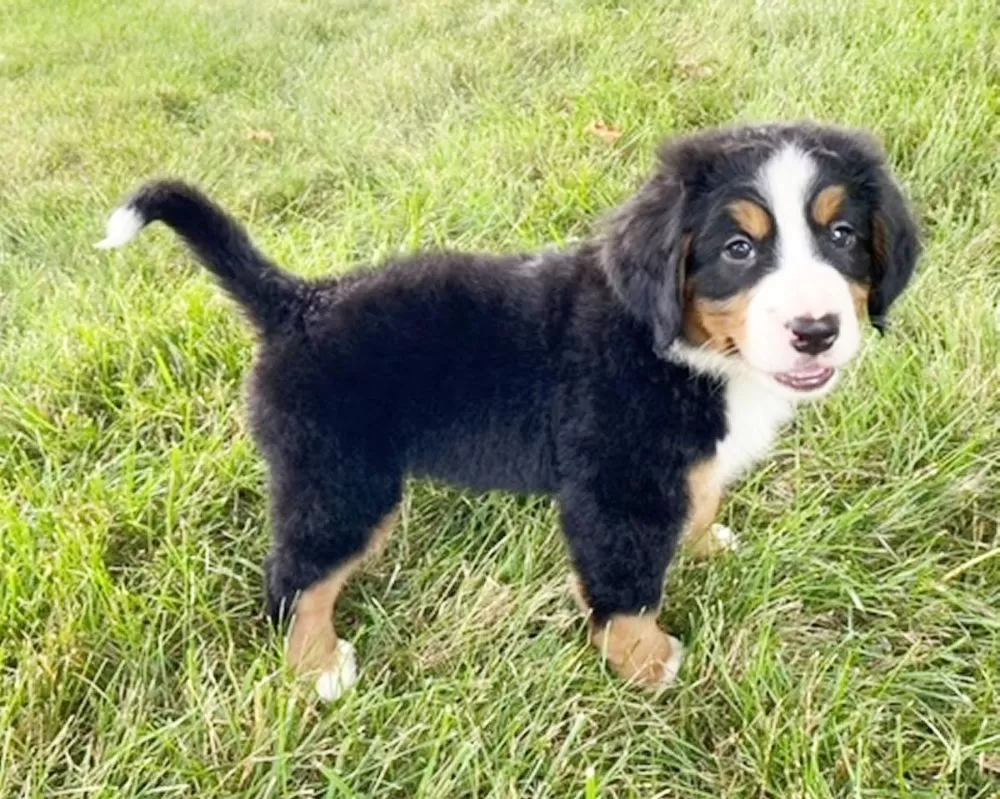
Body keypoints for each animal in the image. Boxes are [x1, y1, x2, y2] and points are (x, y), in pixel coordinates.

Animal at [97, 122, 916, 704]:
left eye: (842, 235)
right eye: (739, 248)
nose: (817, 330)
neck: (682, 347)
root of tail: (298, 302)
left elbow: (700, 498)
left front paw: (705, 542)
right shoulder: (614, 487)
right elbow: (627, 586)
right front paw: (645, 662)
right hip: (340, 481)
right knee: (295, 577)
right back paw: (319, 667)